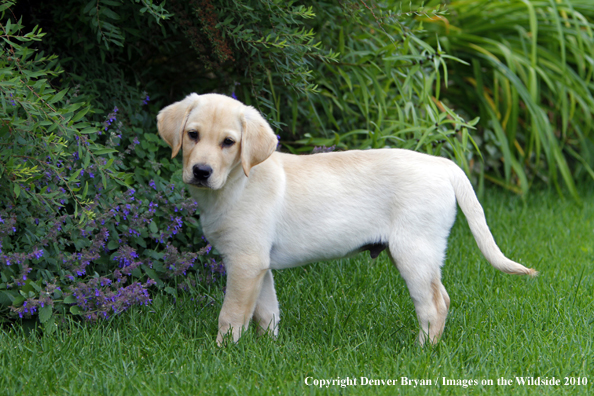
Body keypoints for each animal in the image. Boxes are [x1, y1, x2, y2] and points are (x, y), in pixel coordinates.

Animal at [157, 94, 536, 344]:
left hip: (414, 251)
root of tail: (444, 165)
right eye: (192, 135)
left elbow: (232, 314)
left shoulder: (245, 261)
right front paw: (268, 349)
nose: (201, 171)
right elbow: (266, 311)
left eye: (228, 142)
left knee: (434, 304)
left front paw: (224, 352)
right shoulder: (259, 264)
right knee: (441, 297)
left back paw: (422, 351)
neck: (237, 182)